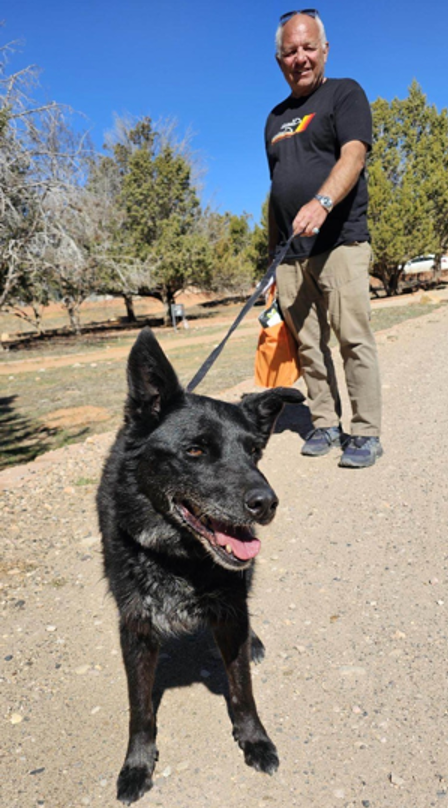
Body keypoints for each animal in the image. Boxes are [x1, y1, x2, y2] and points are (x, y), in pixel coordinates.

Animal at [96, 326, 302, 800]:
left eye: (254, 452)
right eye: (194, 451)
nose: (267, 504)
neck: (178, 558)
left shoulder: (230, 611)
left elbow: (242, 689)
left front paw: (254, 739)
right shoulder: (135, 629)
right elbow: (140, 710)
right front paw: (137, 764)